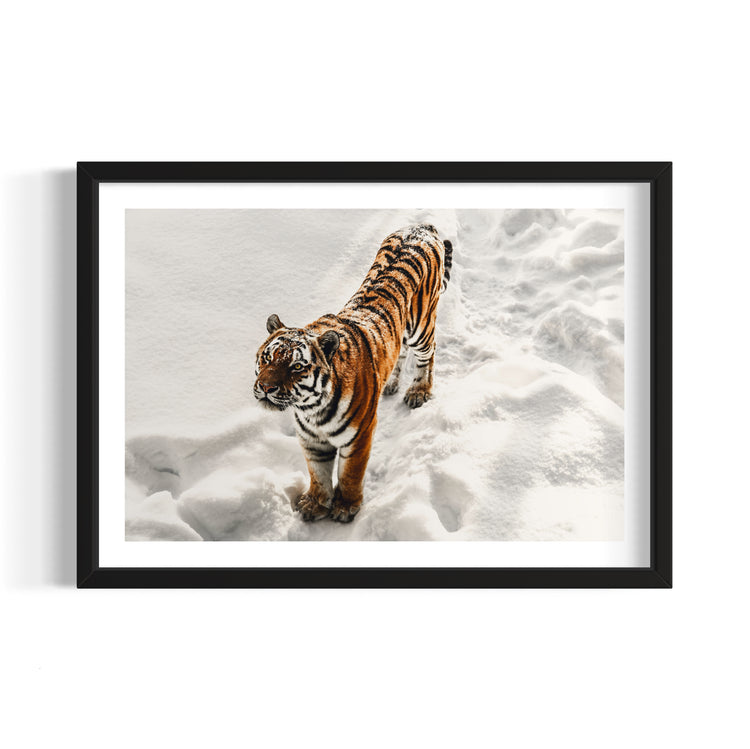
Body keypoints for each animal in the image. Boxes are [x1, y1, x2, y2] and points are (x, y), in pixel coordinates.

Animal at [253, 223, 453, 523]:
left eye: (296, 367)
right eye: (267, 358)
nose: (266, 388)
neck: (311, 408)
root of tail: (421, 226)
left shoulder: (358, 437)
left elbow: (349, 474)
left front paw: (345, 507)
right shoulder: (312, 442)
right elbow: (318, 474)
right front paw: (314, 504)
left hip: (422, 327)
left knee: (427, 355)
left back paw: (419, 391)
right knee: (401, 351)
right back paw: (391, 384)